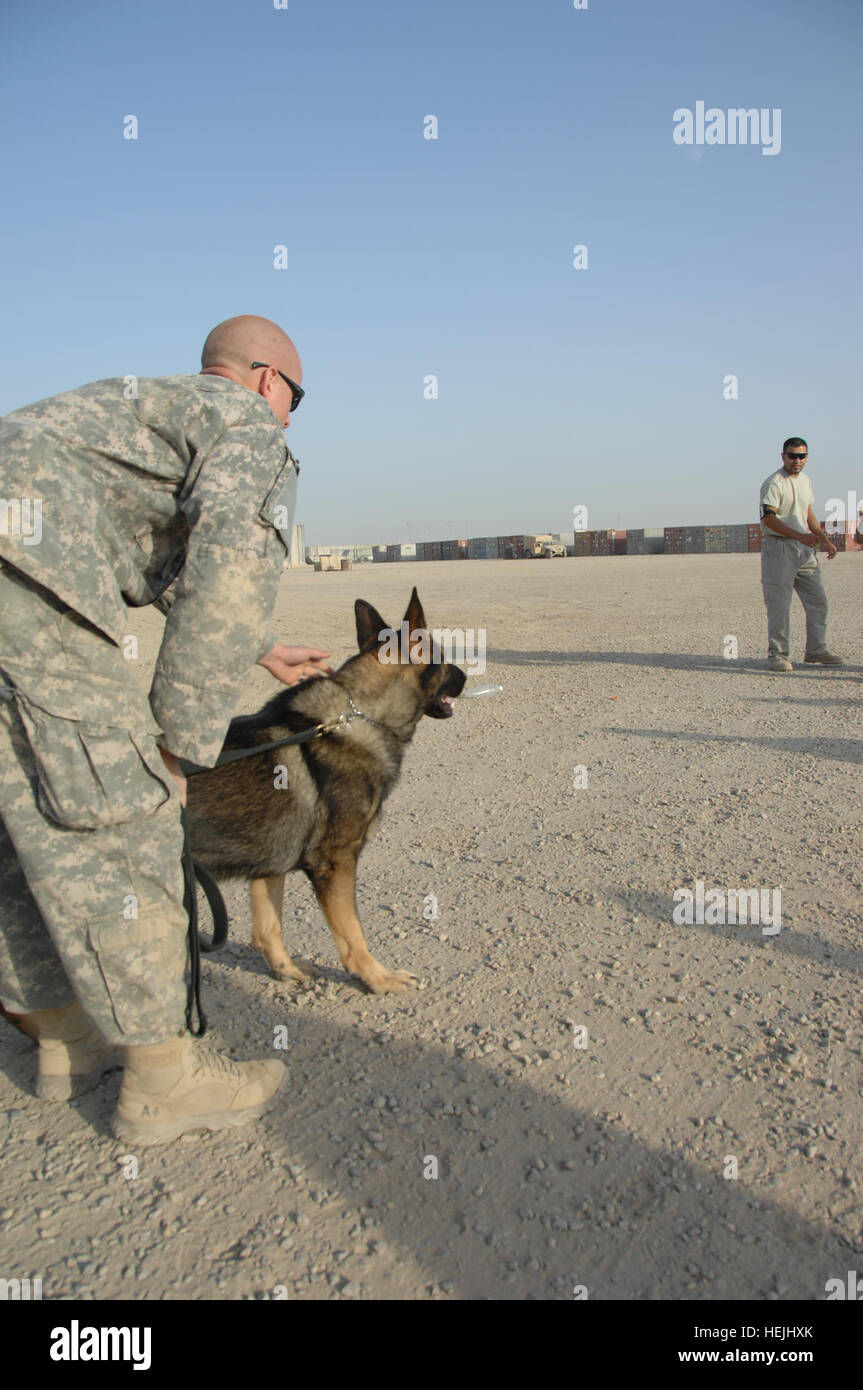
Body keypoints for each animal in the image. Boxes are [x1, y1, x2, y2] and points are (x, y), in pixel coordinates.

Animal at [182, 592, 464, 995]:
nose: (466, 675)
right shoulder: (336, 862)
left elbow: (268, 927)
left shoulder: (272, 862)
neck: (362, 715)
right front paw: (378, 978)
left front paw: (285, 970)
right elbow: (352, 934)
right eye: (442, 659)